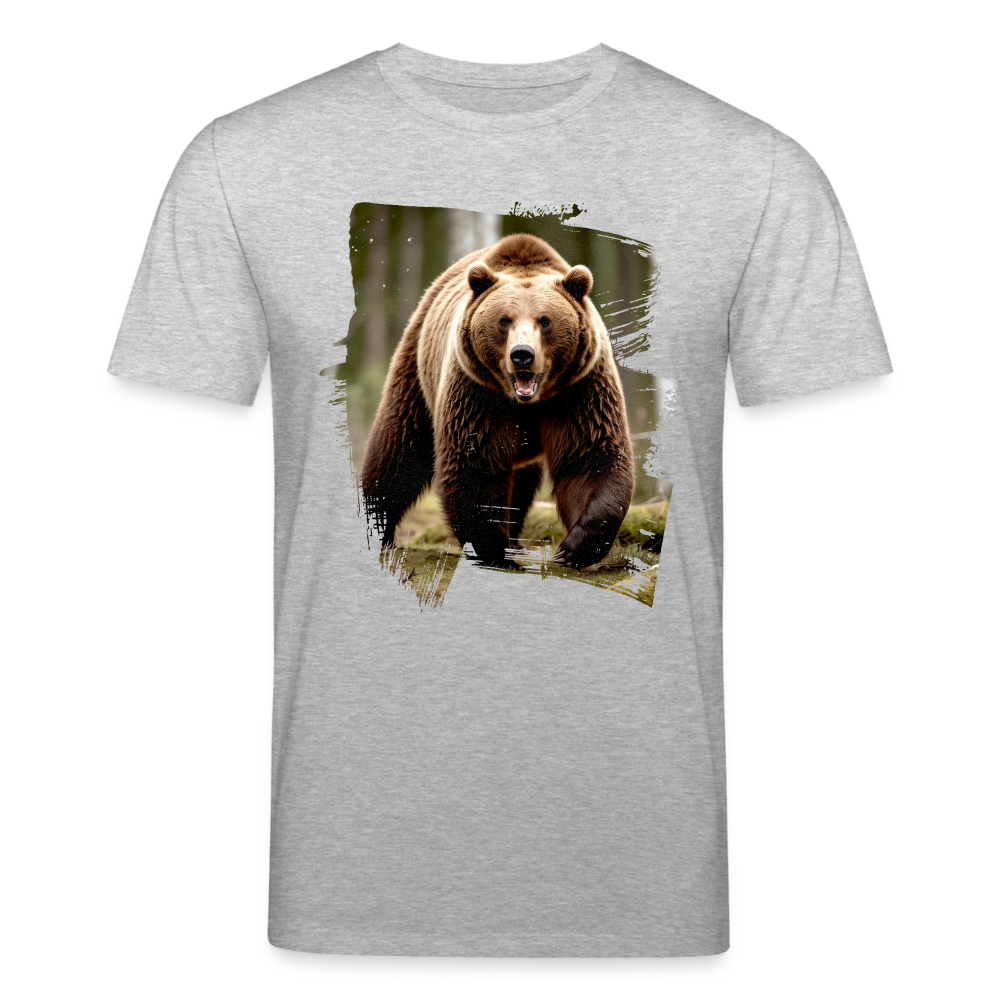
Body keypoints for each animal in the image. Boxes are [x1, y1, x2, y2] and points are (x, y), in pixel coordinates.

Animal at [360, 232, 635, 570]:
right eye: (504, 320)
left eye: (545, 320)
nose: (522, 354)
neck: (527, 401)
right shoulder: (478, 392)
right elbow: (476, 462)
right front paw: (494, 550)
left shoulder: (579, 389)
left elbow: (589, 458)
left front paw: (575, 547)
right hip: (417, 369)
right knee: (398, 449)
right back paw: (377, 528)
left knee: (522, 483)